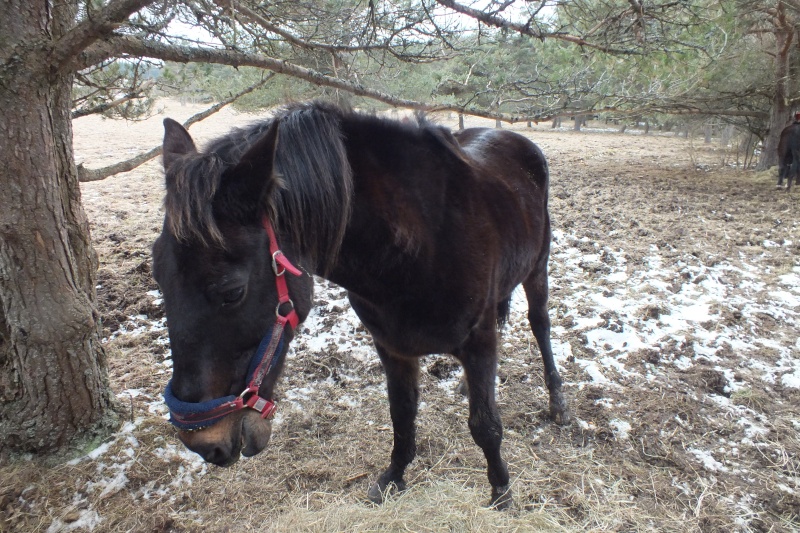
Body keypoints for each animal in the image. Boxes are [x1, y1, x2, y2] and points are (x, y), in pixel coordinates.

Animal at [152, 102, 568, 510]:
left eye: (232, 292)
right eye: (158, 277)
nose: (202, 443)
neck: (422, 247)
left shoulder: (478, 342)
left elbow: (485, 426)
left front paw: (501, 491)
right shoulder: (393, 348)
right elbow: (402, 415)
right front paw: (393, 478)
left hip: (538, 268)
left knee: (540, 324)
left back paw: (559, 403)